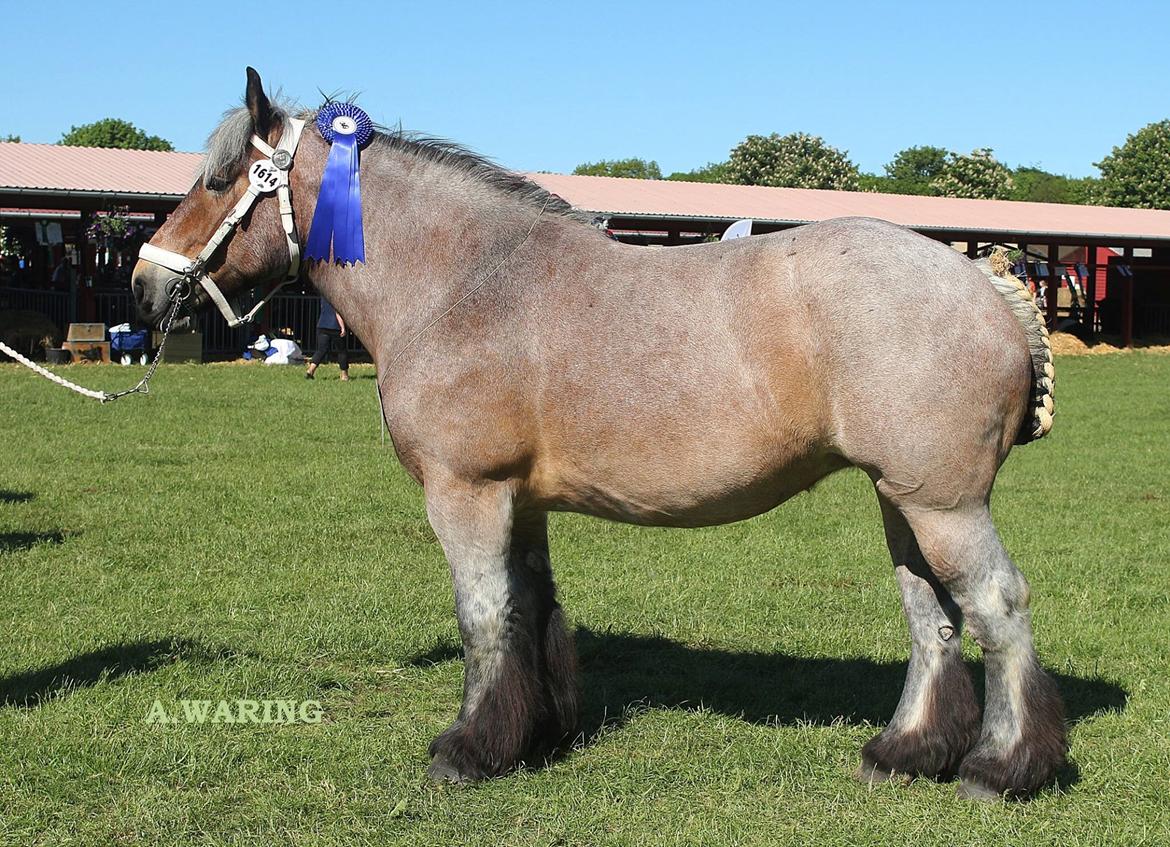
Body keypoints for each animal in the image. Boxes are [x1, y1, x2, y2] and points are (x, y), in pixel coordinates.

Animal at [132, 67, 1067, 800]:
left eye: (219, 181)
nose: (146, 283)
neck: (466, 282)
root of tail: (984, 281)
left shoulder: (465, 494)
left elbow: (483, 617)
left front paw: (467, 749)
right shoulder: (521, 502)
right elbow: (532, 609)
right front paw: (533, 736)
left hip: (943, 503)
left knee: (997, 604)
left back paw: (1000, 767)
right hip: (900, 500)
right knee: (933, 618)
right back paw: (905, 751)